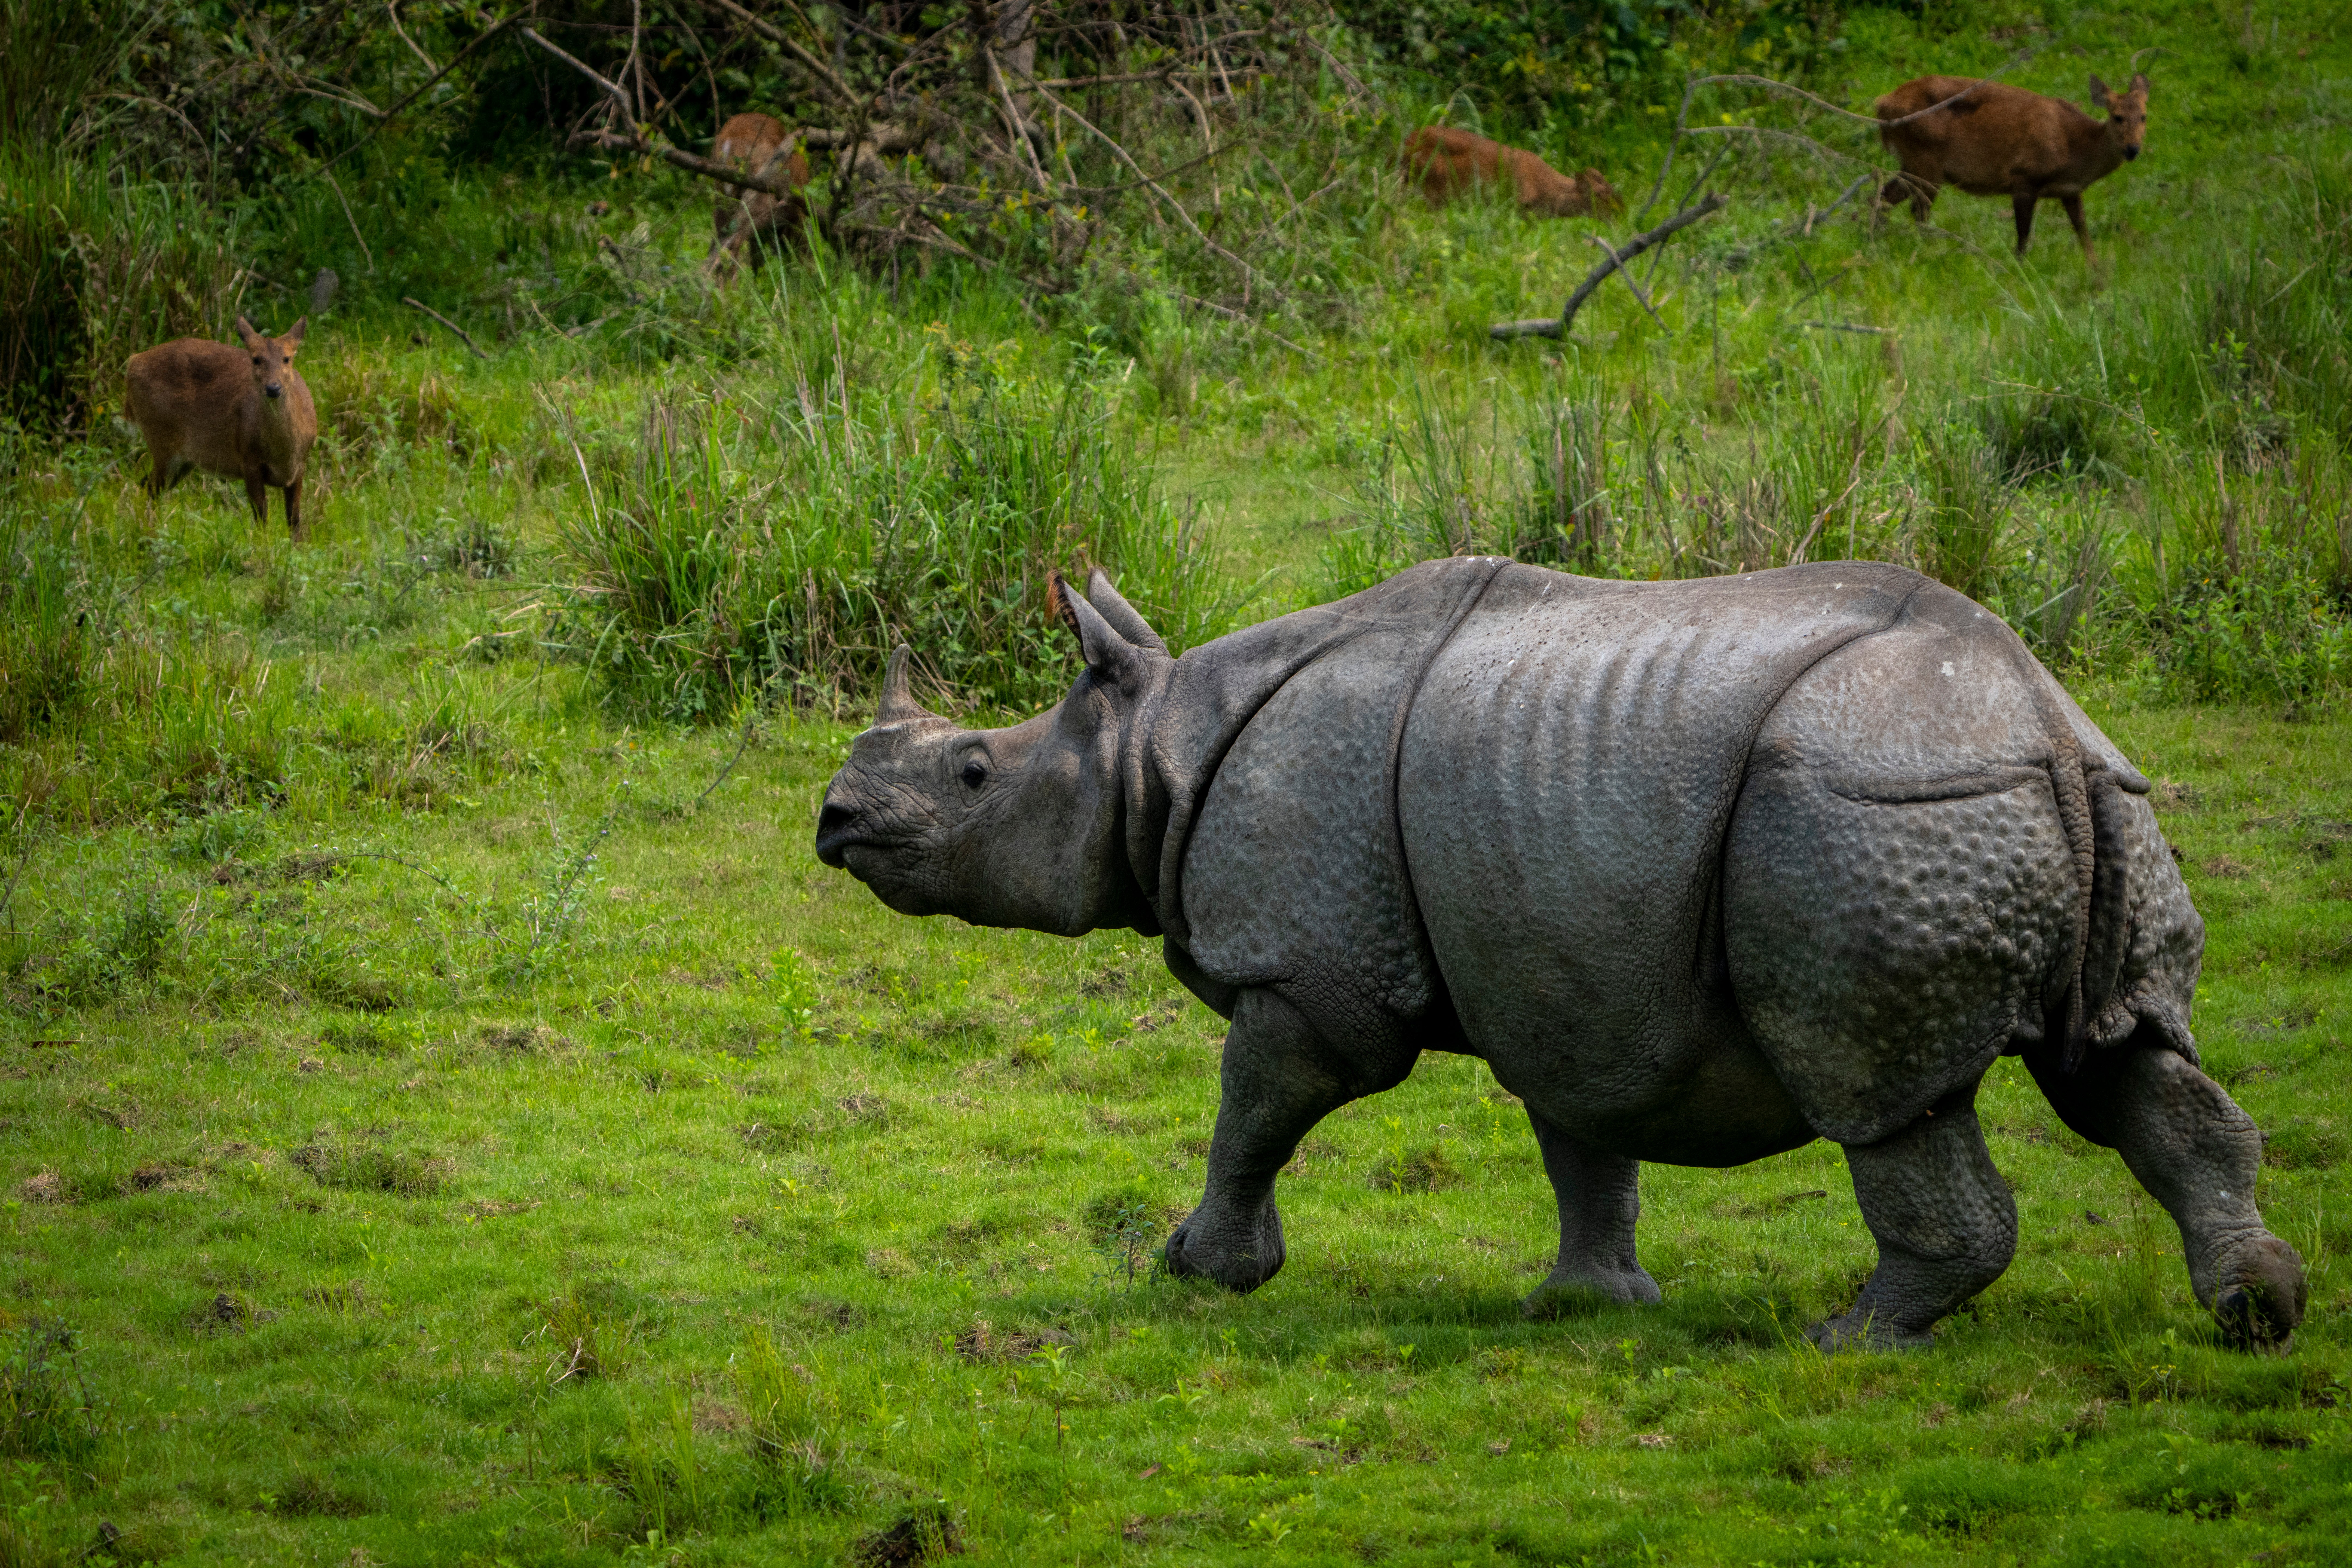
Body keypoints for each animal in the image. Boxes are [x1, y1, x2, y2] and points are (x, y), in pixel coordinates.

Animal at [814, 558, 2307, 1349]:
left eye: (970, 773)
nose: (833, 821)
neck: (1152, 751)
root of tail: (2041, 721)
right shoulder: (1568, 958)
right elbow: (1583, 1136)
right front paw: (1590, 1304)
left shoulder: (1310, 972)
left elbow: (1257, 1109)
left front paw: (1196, 1273)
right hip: (2092, 804)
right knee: (2125, 1061)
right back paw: (2256, 1309)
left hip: (1868, 814)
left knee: (1882, 1095)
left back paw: (1846, 1340)